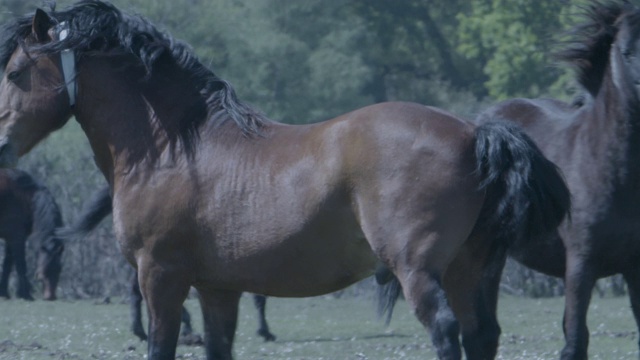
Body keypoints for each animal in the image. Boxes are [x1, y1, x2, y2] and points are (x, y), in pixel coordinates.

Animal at [0, 169, 64, 300]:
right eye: (45, 268)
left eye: (59, 269)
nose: (51, 297)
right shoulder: (17, 238)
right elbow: (21, 265)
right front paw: (25, 294)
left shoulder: (11, 239)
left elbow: (7, 265)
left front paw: (4, 293)